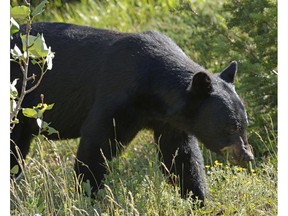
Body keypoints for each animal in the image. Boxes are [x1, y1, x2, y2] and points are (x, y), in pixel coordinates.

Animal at [10, 22, 254, 205]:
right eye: (232, 126)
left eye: (244, 124)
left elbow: (181, 157)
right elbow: (96, 145)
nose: (247, 155)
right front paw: (89, 198)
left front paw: (200, 201)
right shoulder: (117, 94)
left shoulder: (170, 120)